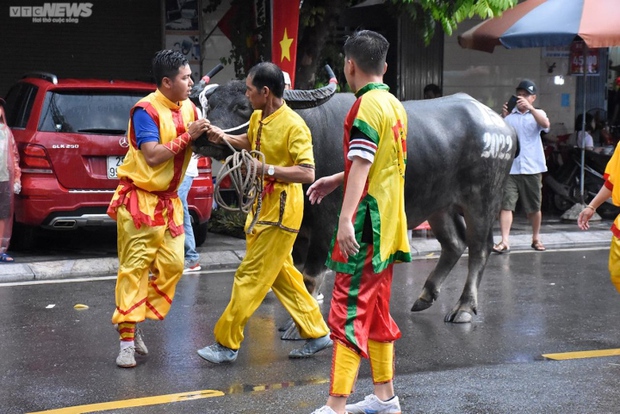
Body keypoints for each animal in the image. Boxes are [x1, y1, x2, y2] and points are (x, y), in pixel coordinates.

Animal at [193, 81, 512, 326]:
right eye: (210, 104)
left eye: (243, 106)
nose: (204, 135)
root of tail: (500, 125)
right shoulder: (299, 229)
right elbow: (295, 276)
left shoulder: (327, 223)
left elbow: (310, 276)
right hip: (439, 203)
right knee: (454, 243)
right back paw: (424, 296)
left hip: (482, 199)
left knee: (479, 247)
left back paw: (464, 308)